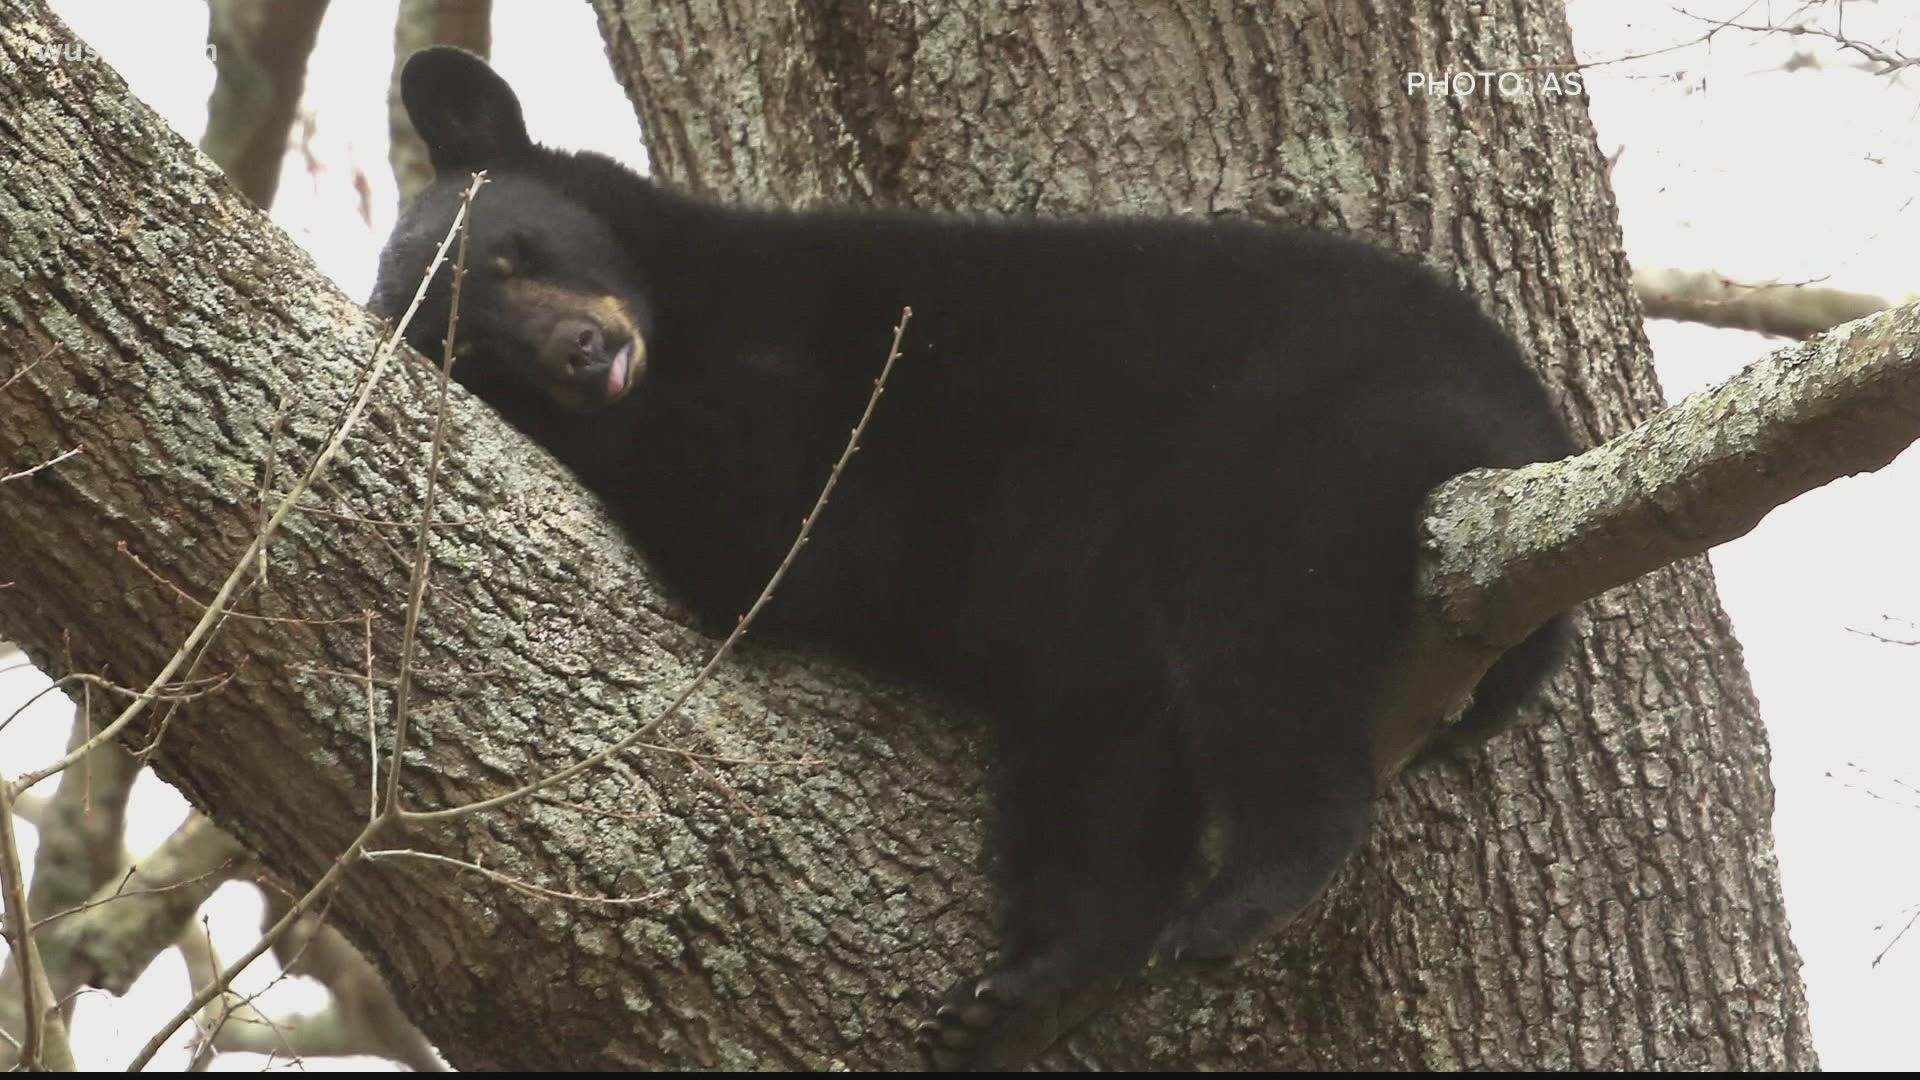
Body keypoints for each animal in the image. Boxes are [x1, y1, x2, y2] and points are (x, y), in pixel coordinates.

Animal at [370, 44, 1574, 1068]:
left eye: (523, 251)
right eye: (471, 347)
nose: (583, 356)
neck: (701, 309)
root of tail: (1532, 425)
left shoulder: (851, 361)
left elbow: (788, 527)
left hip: (1316, 439)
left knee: (1262, 644)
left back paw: (1245, 892)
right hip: (1120, 611)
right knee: (1100, 765)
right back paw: (1023, 985)